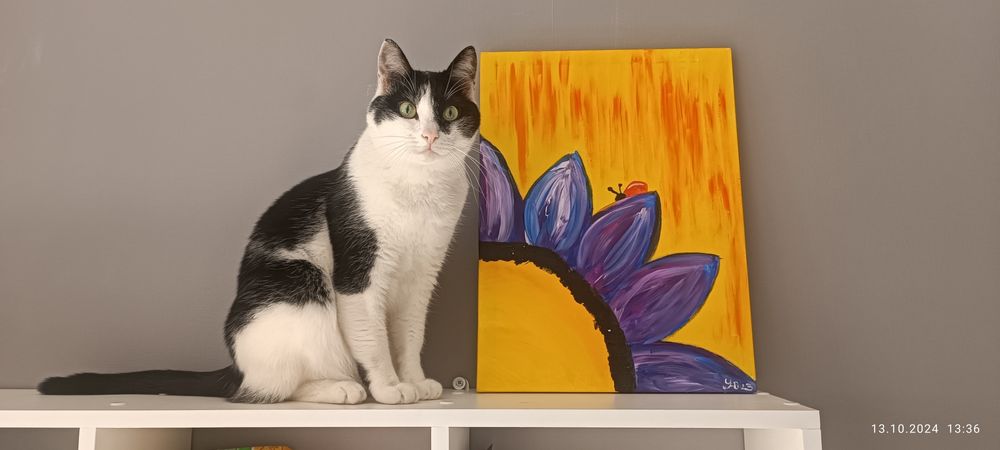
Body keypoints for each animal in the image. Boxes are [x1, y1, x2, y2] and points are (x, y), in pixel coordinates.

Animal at [37, 39, 480, 405]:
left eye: (450, 113)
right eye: (408, 110)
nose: (430, 136)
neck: (419, 189)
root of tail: (236, 367)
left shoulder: (421, 277)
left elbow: (409, 336)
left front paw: (415, 381)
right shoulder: (358, 275)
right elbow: (373, 339)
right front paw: (389, 388)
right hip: (302, 287)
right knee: (272, 388)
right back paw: (342, 388)